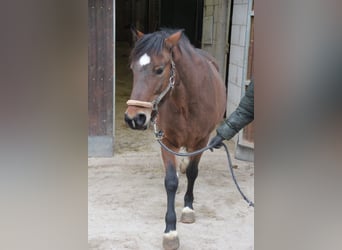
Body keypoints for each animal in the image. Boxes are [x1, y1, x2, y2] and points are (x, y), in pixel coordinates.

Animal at [124, 27, 226, 250]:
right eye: (132, 69)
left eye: (159, 69)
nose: (134, 118)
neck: (186, 102)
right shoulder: (167, 141)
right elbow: (170, 181)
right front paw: (170, 232)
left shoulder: (202, 141)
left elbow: (193, 173)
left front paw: (188, 209)